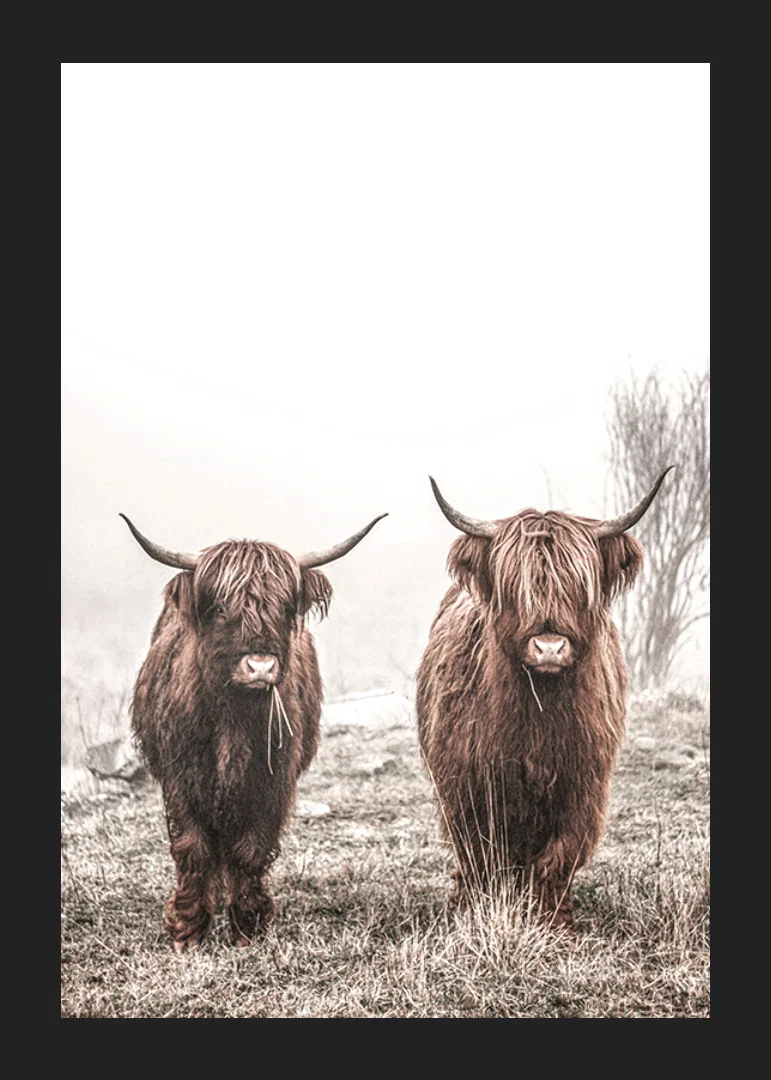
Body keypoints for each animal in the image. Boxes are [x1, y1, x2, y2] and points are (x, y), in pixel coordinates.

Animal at [121, 509, 387, 952]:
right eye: (220, 608)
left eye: (284, 606)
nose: (260, 667)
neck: (234, 718)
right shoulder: (182, 779)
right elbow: (193, 847)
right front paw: (187, 928)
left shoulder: (272, 780)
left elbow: (251, 848)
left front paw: (249, 925)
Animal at [416, 470, 673, 935]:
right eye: (515, 588)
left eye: (578, 586)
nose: (549, 647)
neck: (539, 714)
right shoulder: (467, 786)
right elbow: (481, 855)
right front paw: (478, 914)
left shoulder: (582, 786)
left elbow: (558, 859)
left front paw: (556, 926)